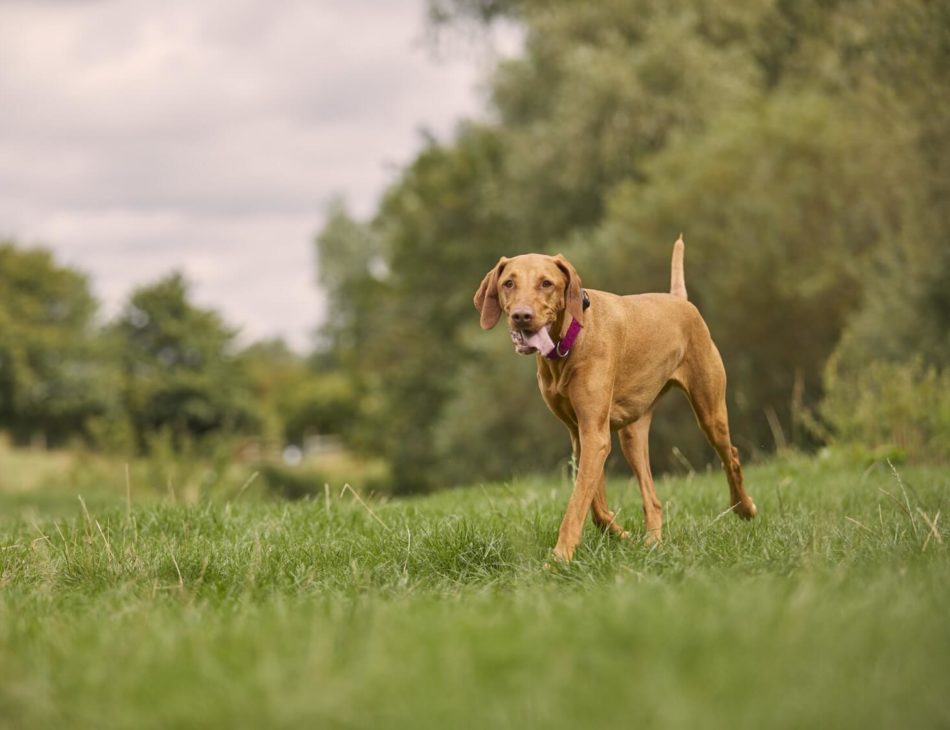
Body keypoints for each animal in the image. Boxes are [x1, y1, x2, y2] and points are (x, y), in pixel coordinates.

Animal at [474, 236, 760, 560]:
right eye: (508, 283)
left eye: (546, 283)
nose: (522, 316)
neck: (569, 342)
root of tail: (679, 300)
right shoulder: (581, 433)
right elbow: (594, 504)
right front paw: (620, 534)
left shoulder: (594, 435)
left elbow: (576, 505)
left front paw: (559, 558)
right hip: (632, 434)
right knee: (652, 497)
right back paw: (652, 542)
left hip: (710, 412)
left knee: (731, 455)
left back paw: (745, 508)